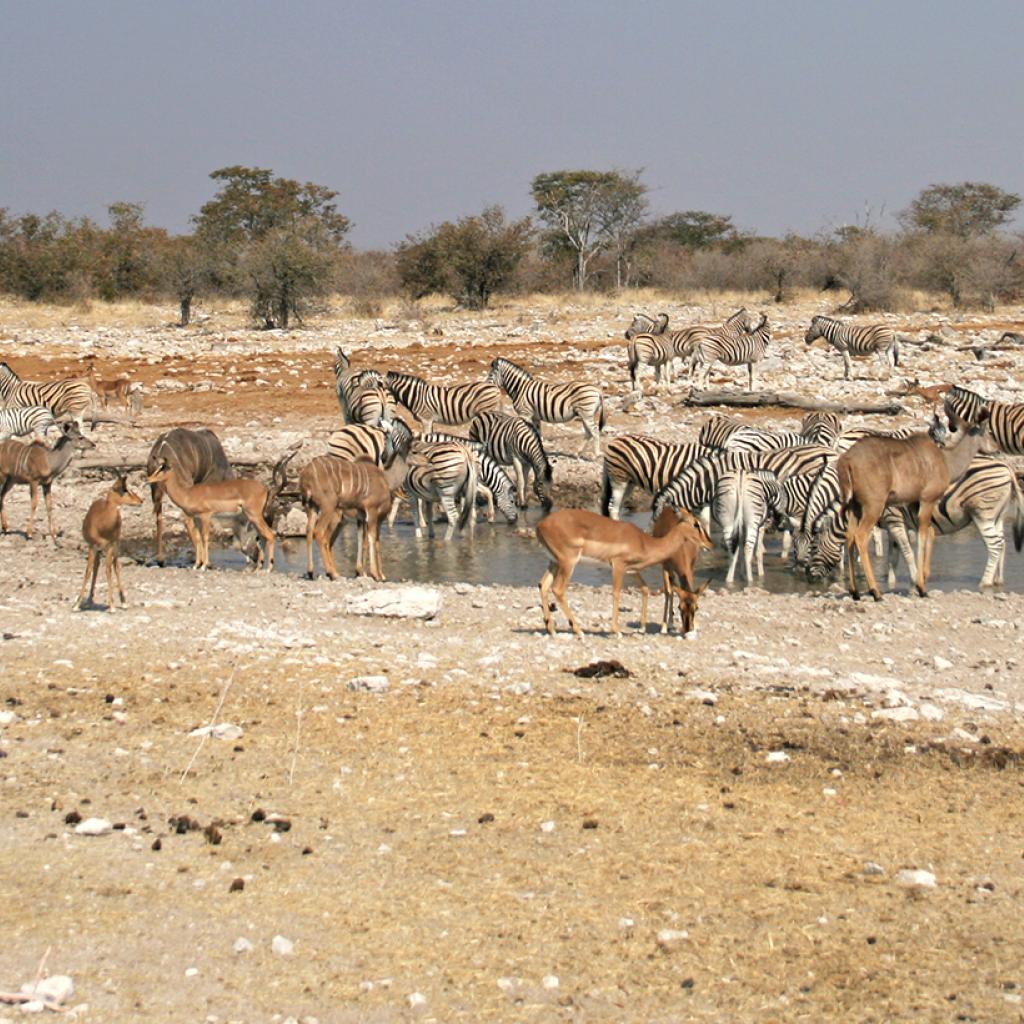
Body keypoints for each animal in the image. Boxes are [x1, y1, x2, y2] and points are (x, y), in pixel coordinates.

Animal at [74, 475, 144, 610]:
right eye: (125, 489)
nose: (140, 500)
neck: (102, 524)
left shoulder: (110, 546)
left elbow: (108, 570)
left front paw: (111, 605)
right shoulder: (92, 546)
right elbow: (88, 571)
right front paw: (76, 604)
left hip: (115, 546)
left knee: (116, 566)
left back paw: (123, 602)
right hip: (100, 549)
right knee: (96, 567)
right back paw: (90, 599)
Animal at [540, 507, 716, 634]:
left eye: (696, 607)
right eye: (696, 524)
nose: (710, 544)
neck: (645, 542)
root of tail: (540, 525)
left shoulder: (631, 570)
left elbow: (645, 589)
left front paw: (642, 627)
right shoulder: (618, 566)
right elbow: (616, 593)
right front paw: (616, 631)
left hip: (554, 562)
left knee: (543, 585)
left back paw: (551, 629)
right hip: (568, 563)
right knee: (558, 589)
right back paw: (578, 631)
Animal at [835, 409, 995, 598]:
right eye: (989, 431)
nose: (996, 447)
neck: (946, 460)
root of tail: (846, 460)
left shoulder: (914, 503)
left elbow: (927, 533)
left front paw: (922, 579)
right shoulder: (927, 500)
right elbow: (923, 535)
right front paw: (921, 587)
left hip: (855, 507)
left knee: (849, 536)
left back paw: (855, 591)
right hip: (873, 506)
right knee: (860, 537)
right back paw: (875, 591)